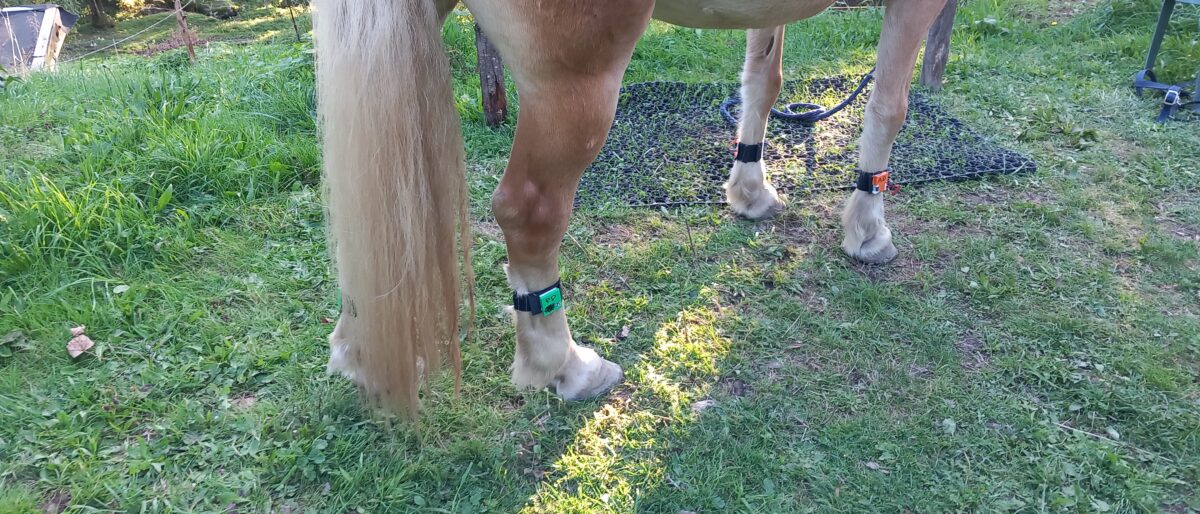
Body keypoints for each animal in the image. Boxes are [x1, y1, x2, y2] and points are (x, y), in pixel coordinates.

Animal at [315, 0, 948, 414]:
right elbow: (889, 104)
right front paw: (868, 230)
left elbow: (763, 79)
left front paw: (749, 191)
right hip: (577, 85)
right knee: (528, 210)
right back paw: (567, 368)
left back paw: (358, 350)